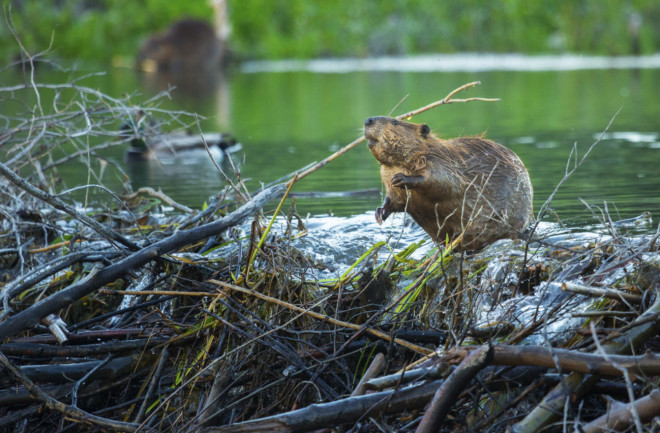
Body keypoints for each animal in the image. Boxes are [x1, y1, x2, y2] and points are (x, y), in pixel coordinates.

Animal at [364, 115, 532, 250]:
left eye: (395, 122)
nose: (368, 120)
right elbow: (394, 200)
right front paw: (380, 213)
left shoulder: (440, 162)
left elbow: (444, 183)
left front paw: (401, 178)